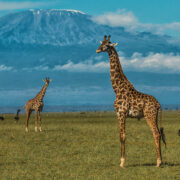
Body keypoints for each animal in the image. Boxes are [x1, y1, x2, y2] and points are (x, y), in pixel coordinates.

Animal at [95, 35, 166, 168]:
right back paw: (160, 161)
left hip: (149, 115)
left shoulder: (121, 113)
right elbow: (122, 135)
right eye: (101, 43)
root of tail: (158, 104)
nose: (97, 50)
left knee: (156, 133)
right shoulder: (120, 114)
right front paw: (122, 161)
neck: (117, 89)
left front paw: (122, 162)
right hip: (154, 116)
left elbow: (122, 136)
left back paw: (158, 162)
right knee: (159, 133)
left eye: (107, 45)